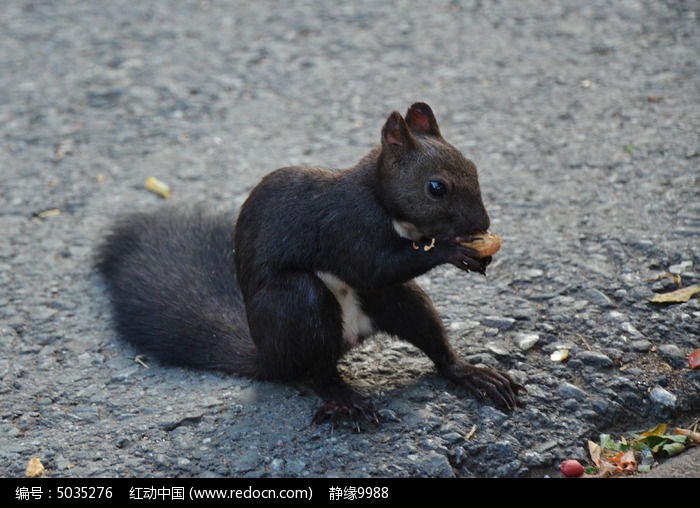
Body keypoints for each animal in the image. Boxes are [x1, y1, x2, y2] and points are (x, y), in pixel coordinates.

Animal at [97, 101, 524, 426]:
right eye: (436, 187)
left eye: (473, 167)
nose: (482, 223)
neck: (378, 195)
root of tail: (267, 357)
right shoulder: (344, 225)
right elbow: (373, 265)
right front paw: (453, 249)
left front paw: (479, 255)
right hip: (298, 305)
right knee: (316, 372)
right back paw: (345, 399)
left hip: (397, 300)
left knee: (428, 337)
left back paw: (472, 374)